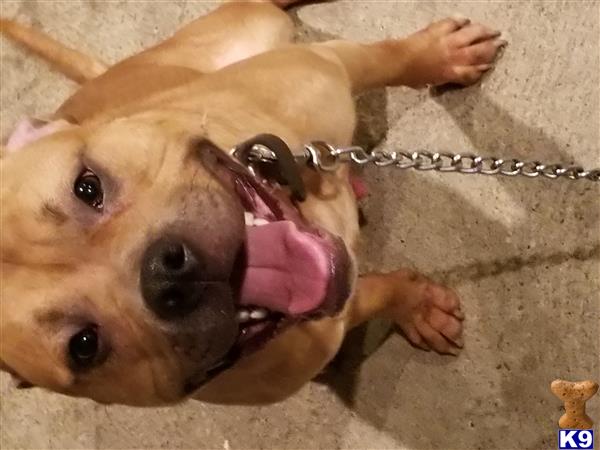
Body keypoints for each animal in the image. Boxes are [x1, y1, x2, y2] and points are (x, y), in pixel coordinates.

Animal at [1, 0, 506, 406]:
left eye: (87, 187)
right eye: (84, 346)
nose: (167, 276)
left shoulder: (328, 64)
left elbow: (393, 58)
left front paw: (440, 56)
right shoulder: (329, 319)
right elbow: (373, 294)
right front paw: (416, 305)